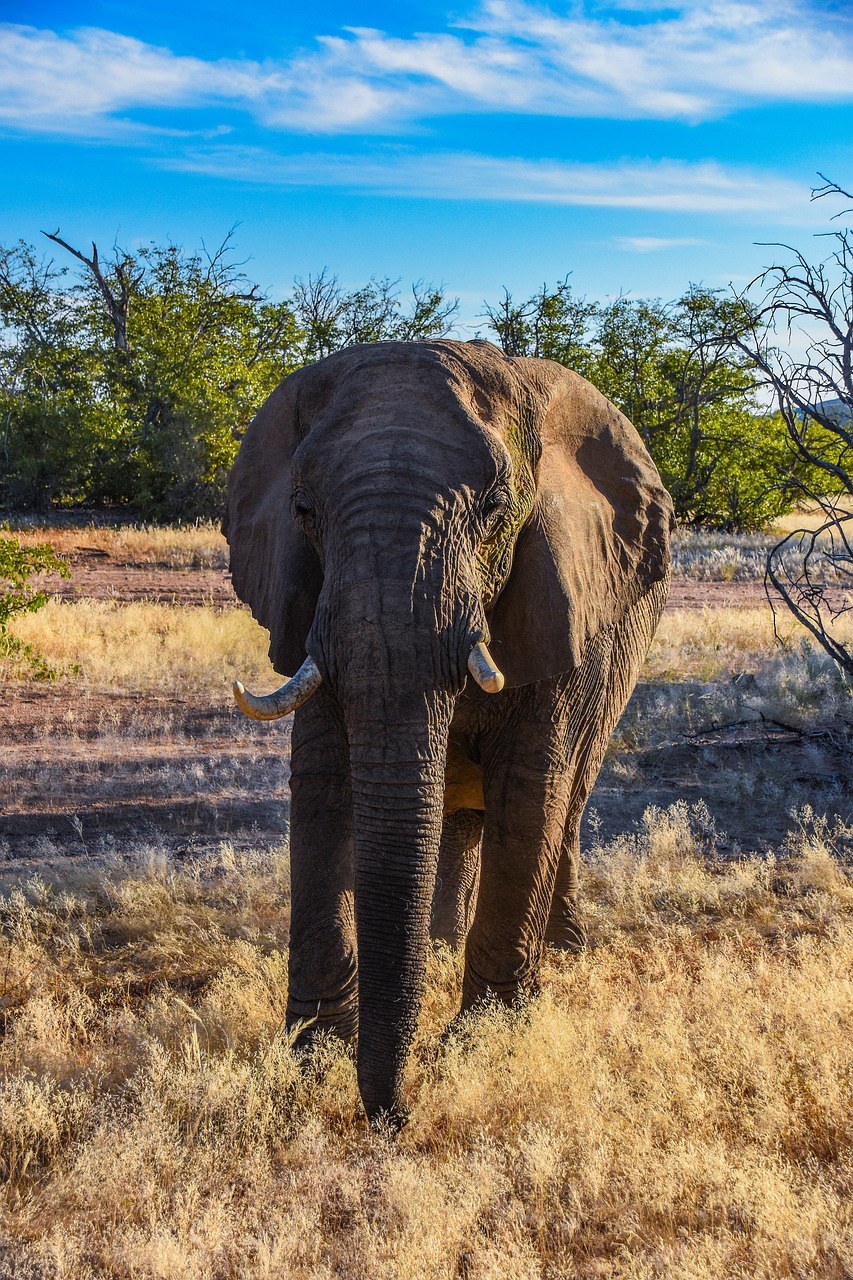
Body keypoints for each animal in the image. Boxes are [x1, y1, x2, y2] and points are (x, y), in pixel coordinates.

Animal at [224, 337, 671, 1121]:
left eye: (494, 510)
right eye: (303, 509)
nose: (396, 1116)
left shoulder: (561, 590)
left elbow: (530, 790)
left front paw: (481, 1043)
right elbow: (324, 787)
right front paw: (309, 1059)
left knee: (568, 803)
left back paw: (563, 951)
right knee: (461, 818)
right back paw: (437, 946)